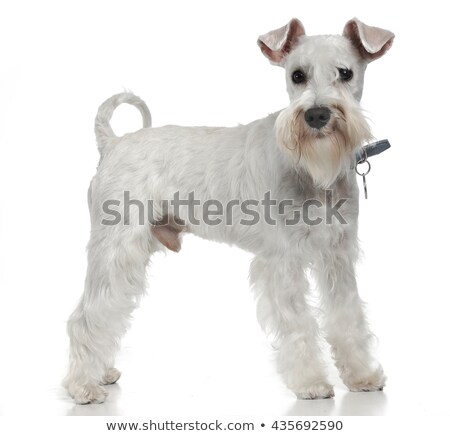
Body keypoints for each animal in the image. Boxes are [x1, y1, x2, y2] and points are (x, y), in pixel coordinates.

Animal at [64, 18, 394, 404]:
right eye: (297, 75)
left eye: (345, 72)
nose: (316, 114)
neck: (313, 171)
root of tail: (113, 142)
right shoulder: (283, 261)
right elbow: (299, 322)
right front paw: (311, 382)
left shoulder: (337, 257)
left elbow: (347, 316)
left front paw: (361, 376)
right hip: (117, 251)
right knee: (87, 317)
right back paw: (83, 386)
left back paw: (100, 373)